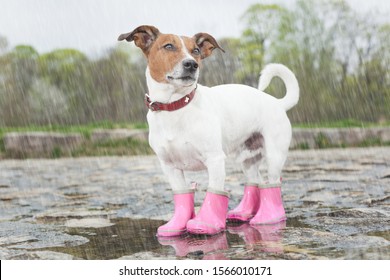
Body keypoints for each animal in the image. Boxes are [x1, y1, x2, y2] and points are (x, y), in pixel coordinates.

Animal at [118, 25, 298, 236]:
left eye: (196, 50)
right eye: (168, 46)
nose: (191, 64)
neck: (176, 106)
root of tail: (278, 103)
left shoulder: (215, 160)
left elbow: (215, 191)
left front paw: (206, 223)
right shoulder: (170, 166)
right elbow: (182, 195)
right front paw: (176, 225)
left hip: (274, 155)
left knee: (272, 183)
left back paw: (269, 218)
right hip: (247, 157)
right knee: (254, 181)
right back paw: (243, 213)